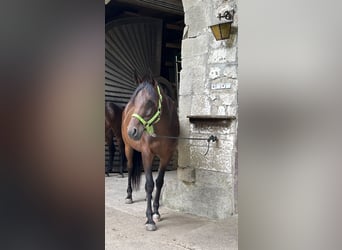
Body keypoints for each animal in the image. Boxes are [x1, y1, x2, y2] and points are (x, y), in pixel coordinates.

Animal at [121, 72, 179, 230]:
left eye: (150, 102)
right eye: (134, 101)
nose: (132, 131)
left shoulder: (166, 156)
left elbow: (158, 182)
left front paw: (156, 212)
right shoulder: (147, 154)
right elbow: (148, 184)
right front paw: (149, 219)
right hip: (128, 148)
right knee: (129, 168)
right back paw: (129, 196)